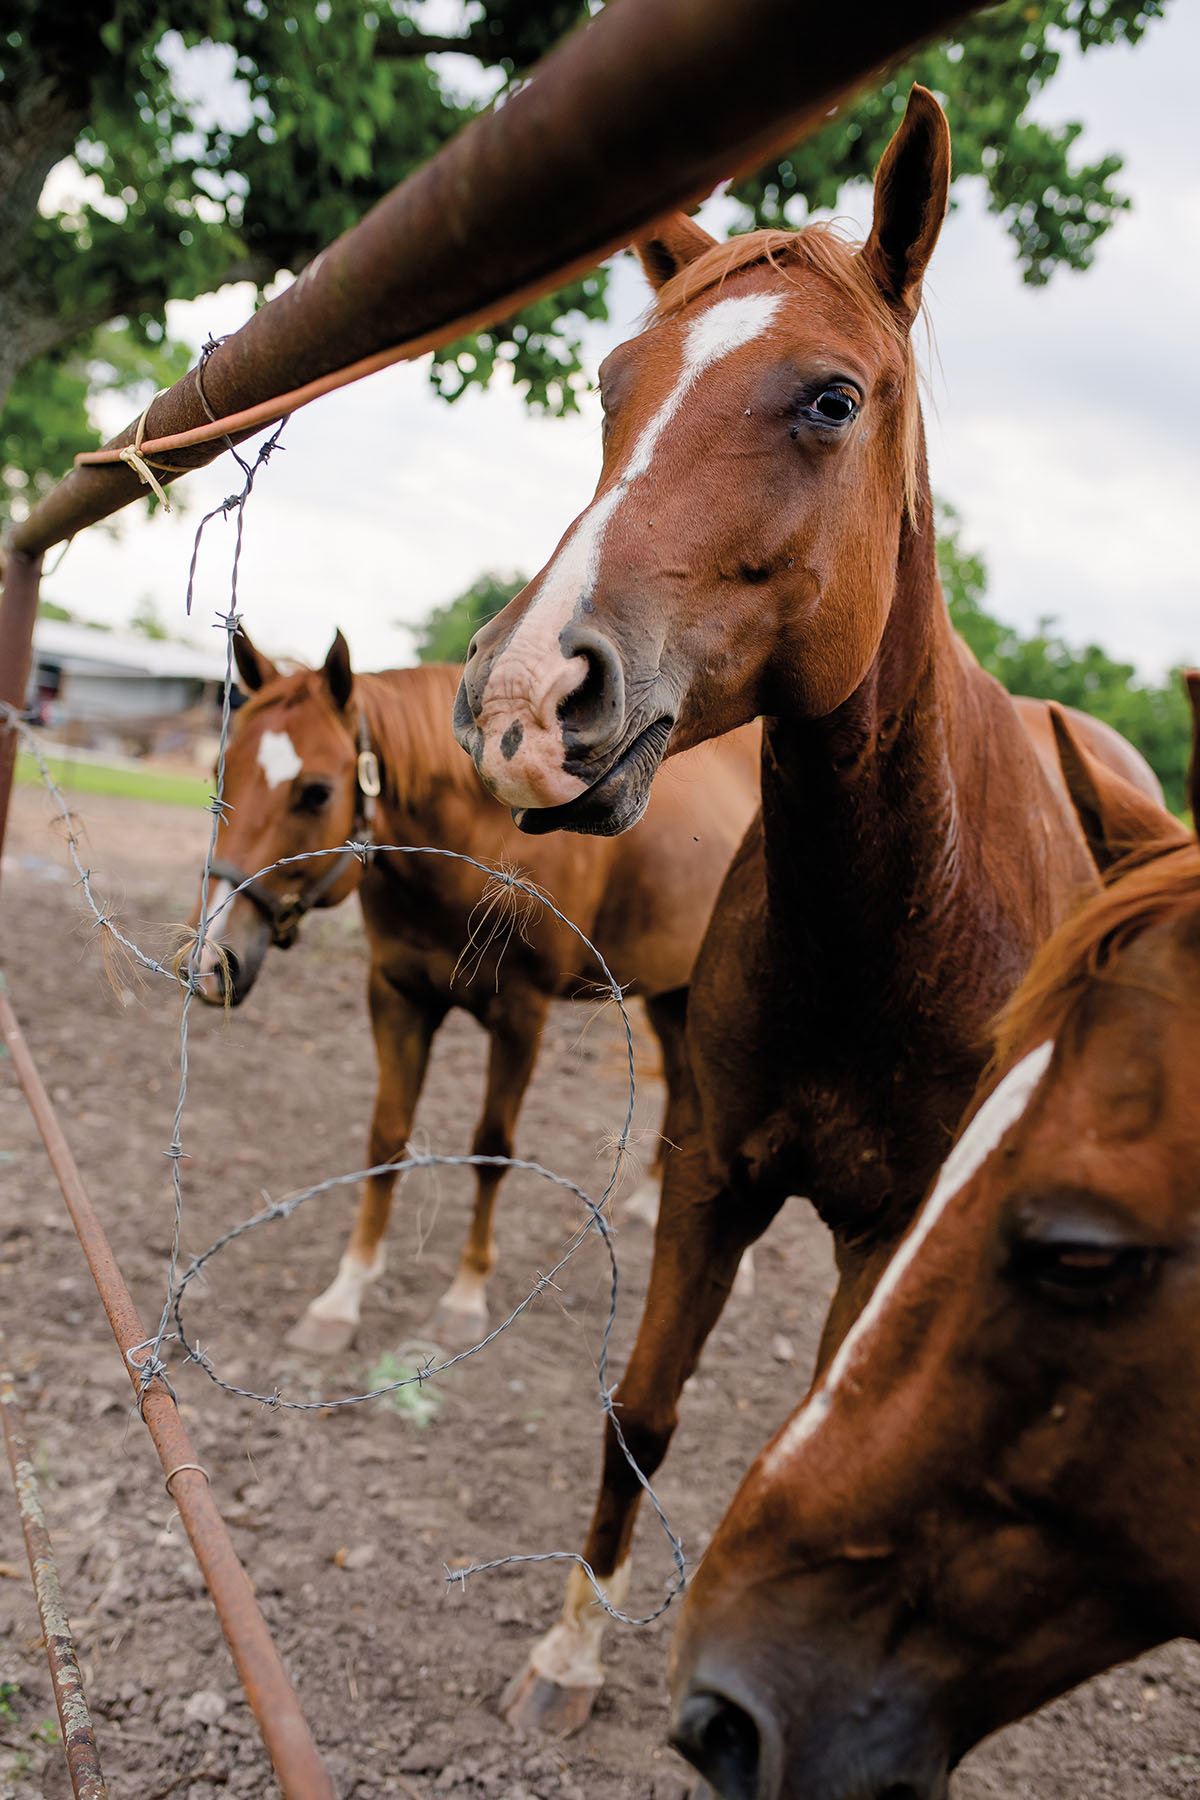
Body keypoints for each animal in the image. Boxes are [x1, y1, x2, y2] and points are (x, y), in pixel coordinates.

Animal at [191, 633, 759, 1353]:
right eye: (222, 774)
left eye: (317, 792)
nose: (213, 961)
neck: (476, 848)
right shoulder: (397, 998)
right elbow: (387, 1140)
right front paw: (343, 1296)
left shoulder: (520, 1016)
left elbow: (492, 1149)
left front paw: (464, 1295)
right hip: (670, 992)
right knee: (685, 1087)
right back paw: (644, 1208)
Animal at [449, 87, 1165, 1728]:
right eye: (612, 386)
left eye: (832, 401)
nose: (525, 697)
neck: (891, 926)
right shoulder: (713, 1171)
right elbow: (641, 1410)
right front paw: (568, 1655)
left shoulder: (886, 1232)